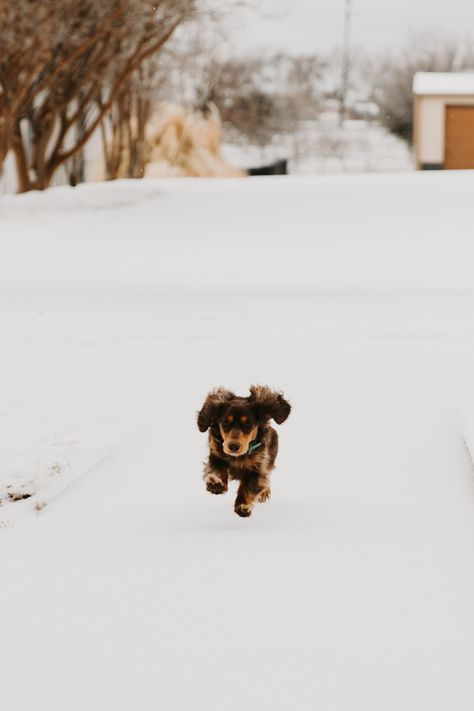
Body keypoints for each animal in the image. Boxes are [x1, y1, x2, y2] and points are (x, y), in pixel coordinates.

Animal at [195, 384, 288, 516]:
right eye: (225, 422)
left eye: (248, 423)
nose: (233, 447)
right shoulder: (215, 455)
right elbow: (217, 469)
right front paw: (215, 483)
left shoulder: (258, 467)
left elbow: (249, 486)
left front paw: (243, 505)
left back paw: (264, 492)